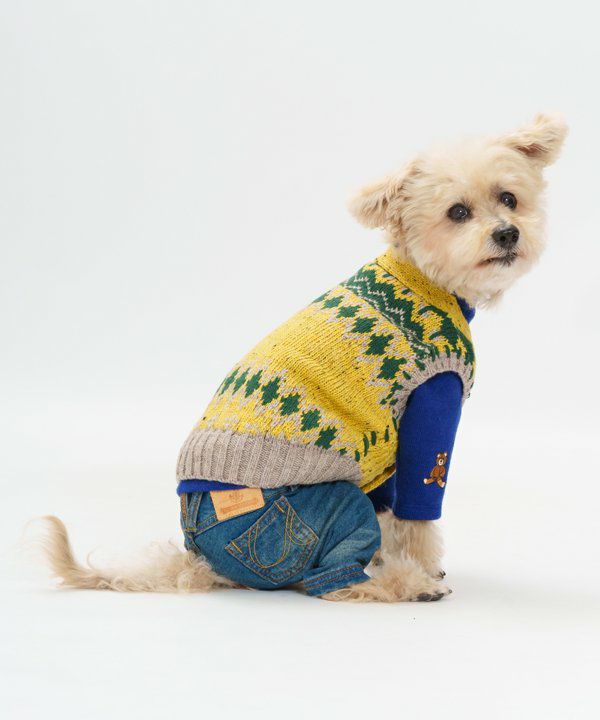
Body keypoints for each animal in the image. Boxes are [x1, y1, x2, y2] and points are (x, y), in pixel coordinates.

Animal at [37, 114, 567, 601]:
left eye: (508, 198)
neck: (424, 277)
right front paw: (421, 567)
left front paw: (396, 555)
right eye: (458, 212)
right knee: (328, 578)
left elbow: (393, 507)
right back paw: (405, 586)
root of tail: (198, 551)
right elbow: (418, 508)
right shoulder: (432, 406)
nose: (507, 233)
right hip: (314, 511)